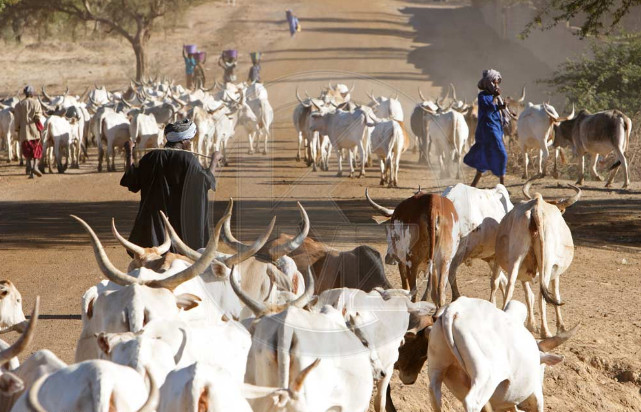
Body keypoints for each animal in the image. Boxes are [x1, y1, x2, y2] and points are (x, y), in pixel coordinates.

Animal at [428, 296, 572, 412]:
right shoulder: (536, 396)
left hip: (437, 368)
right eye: (543, 368)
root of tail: (455, 309)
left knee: (435, 396)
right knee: (472, 403)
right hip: (486, 376)